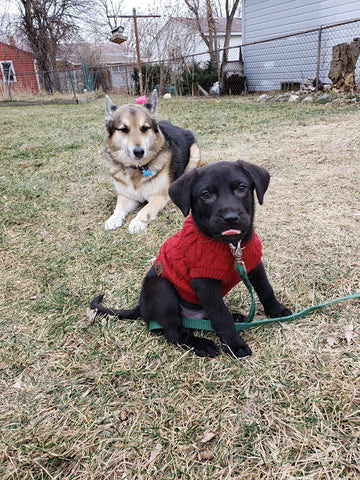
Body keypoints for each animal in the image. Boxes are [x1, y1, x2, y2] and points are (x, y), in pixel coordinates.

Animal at [90, 160, 292, 356]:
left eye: (241, 188)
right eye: (206, 195)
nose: (230, 218)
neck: (231, 246)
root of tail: (141, 307)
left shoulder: (253, 264)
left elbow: (266, 289)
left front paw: (277, 311)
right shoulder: (203, 282)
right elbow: (221, 315)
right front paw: (235, 345)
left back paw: (236, 317)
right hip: (161, 288)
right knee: (174, 333)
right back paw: (201, 344)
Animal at [103, 90, 200, 234]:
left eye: (144, 128)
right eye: (124, 129)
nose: (139, 152)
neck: (136, 168)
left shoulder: (159, 196)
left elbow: (146, 209)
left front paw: (137, 221)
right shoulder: (126, 196)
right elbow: (119, 207)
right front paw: (113, 218)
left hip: (194, 154)